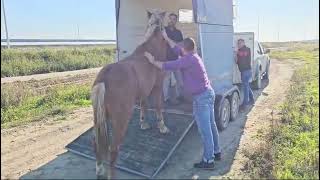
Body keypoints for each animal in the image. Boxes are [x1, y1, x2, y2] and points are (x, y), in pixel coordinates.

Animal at [91, 10, 169, 179]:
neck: (151, 48)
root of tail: (104, 77)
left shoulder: (144, 91)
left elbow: (144, 105)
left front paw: (143, 124)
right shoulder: (158, 86)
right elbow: (158, 106)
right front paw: (162, 126)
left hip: (99, 118)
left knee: (96, 142)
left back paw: (100, 170)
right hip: (120, 121)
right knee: (113, 148)